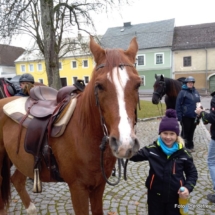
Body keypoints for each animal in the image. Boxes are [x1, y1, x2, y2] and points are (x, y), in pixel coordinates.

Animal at [0, 36, 141, 214]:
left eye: (138, 84)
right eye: (99, 85)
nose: (124, 144)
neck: (85, 132)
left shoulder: (99, 186)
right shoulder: (77, 189)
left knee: (16, 180)